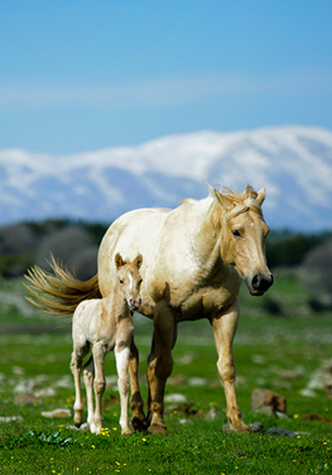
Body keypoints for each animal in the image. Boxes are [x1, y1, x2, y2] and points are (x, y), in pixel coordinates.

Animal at [70, 253, 143, 436]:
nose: (135, 302)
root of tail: (81, 304)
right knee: (76, 364)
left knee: (87, 370)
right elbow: (100, 384)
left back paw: (90, 423)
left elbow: (123, 383)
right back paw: (78, 417)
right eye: (121, 280)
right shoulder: (99, 346)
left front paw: (125, 428)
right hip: (82, 345)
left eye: (140, 280)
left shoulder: (122, 347)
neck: (115, 317)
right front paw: (99, 425)